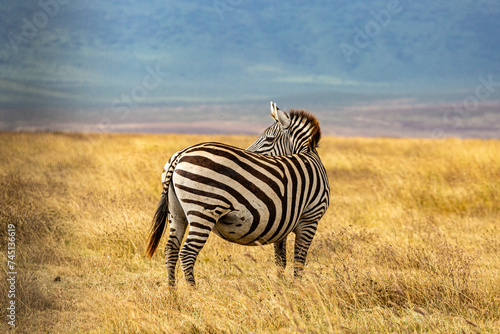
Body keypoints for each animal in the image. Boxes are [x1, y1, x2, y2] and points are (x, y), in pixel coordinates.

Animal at [146, 102, 330, 288]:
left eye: (269, 139)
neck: (307, 155)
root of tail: (180, 155)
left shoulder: (284, 223)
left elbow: (281, 261)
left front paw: (282, 287)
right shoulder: (310, 219)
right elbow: (299, 261)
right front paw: (298, 288)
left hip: (176, 212)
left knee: (171, 249)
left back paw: (172, 292)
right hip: (203, 210)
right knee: (187, 253)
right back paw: (193, 292)